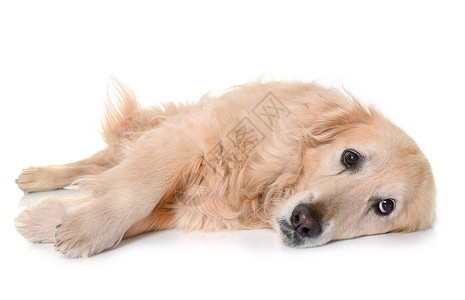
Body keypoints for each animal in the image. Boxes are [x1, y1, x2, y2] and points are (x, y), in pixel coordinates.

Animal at [14, 78, 436, 256]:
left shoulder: (184, 207)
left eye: (384, 206)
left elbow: (137, 210)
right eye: (350, 158)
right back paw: (37, 176)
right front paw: (81, 225)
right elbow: (138, 189)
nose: (305, 221)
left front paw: (48, 220)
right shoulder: (187, 140)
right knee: (99, 160)